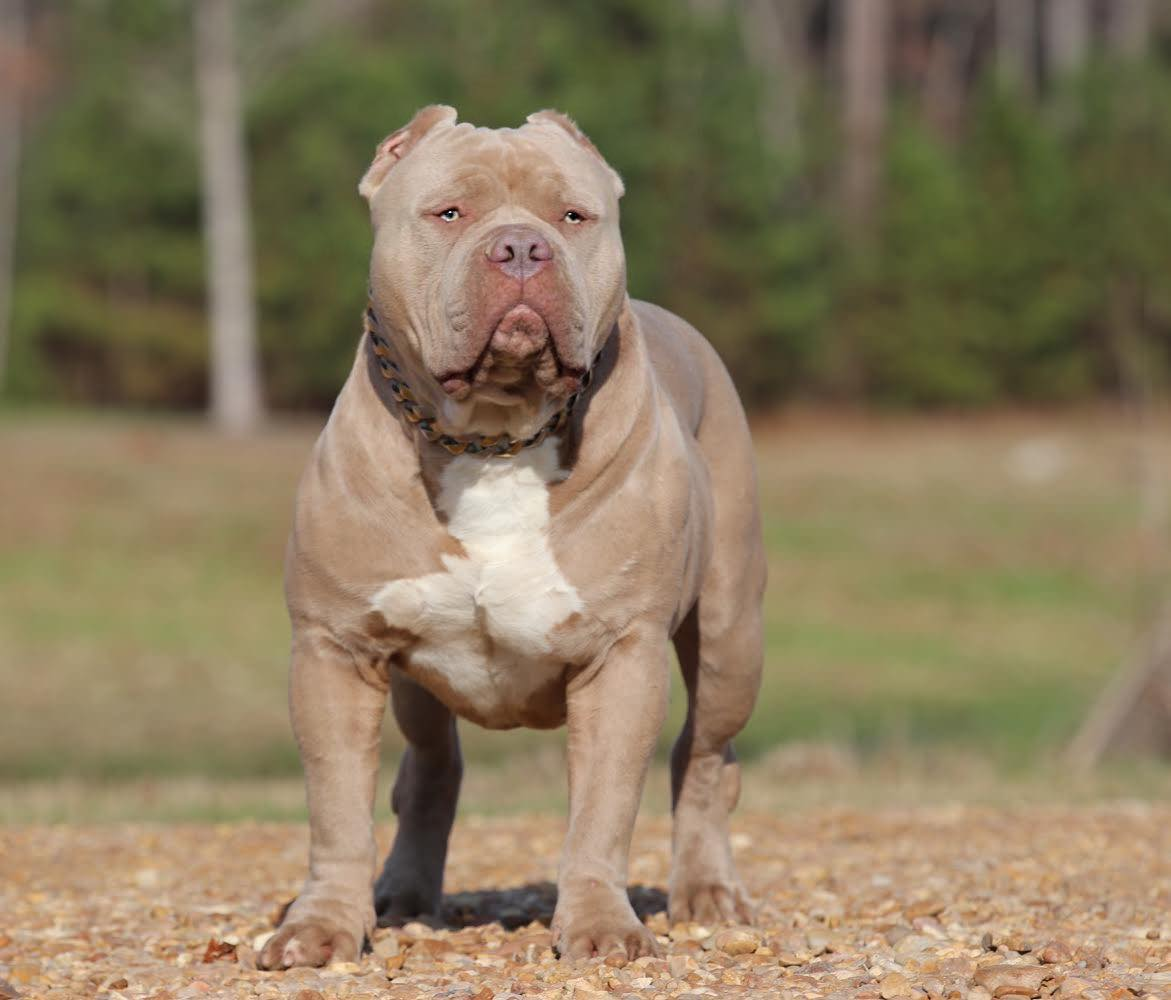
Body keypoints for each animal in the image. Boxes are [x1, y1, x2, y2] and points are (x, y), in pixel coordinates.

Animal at [258, 107, 768, 969]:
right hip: (410, 681)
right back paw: (401, 894)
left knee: (706, 760)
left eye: (573, 216)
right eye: (448, 213)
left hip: (731, 637)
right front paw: (320, 927)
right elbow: (335, 806)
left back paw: (708, 892)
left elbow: (602, 807)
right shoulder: (334, 649)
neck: (491, 440)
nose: (522, 247)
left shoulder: (619, 655)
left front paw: (599, 925)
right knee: (429, 769)